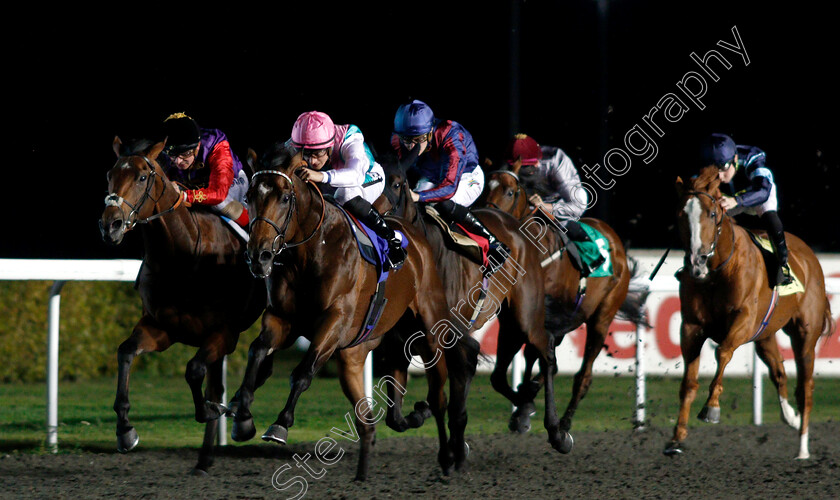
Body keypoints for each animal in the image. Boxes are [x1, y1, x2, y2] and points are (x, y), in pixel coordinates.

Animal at [101, 137, 266, 472]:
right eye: (110, 175)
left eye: (141, 177)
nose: (110, 225)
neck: (184, 256)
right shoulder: (161, 328)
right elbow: (125, 352)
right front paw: (125, 430)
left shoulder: (223, 333)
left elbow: (193, 370)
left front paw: (212, 410)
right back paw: (205, 458)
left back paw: (240, 420)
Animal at [220, 142, 476, 480]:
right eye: (250, 196)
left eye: (285, 198)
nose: (259, 255)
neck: (311, 253)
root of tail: (416, 239)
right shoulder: (282, 319)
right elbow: (257, 350)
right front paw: (242, 414)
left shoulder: (335, 321)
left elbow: (303, 372)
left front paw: (280, 423)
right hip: (363, 350)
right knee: (375, 415)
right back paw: (370, 464)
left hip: (430, 331)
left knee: (438, 396)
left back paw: (447, 455)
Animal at [376, 158, 576, 456]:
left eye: (398, 184)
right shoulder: (401, 341)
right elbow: (395, 417)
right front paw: (421, 413)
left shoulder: (453, 335)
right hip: (508, 322)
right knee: (502, 373)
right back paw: (524, 404)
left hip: (525, 314)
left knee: (546, 352)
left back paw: (555, 431)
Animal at [482, 168, 648, 434]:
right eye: (486, 186)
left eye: (510, 192)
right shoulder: (513, 321)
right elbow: (506, 373)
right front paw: (523, 405)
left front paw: (527, 404)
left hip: (602, 317)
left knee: (583, 376)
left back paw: (564, 421)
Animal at [668, 166, 836, 458]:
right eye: (681, 215)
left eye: (711, 214)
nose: (696, 262)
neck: (716, 273)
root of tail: (810, 258)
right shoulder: (690, 327)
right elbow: (688, 383)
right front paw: (677, 437)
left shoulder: (743, 321)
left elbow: (722, 352)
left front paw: (712, 407)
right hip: (765, 335)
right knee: (779, 373)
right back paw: (790, 418)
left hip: (805, 335)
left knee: (805, 388)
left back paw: (803, 448)